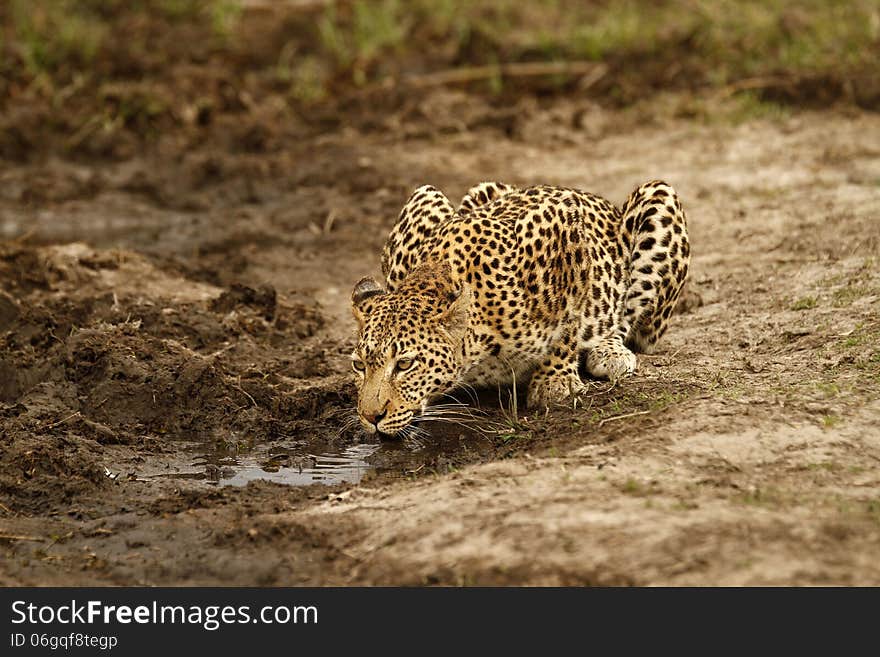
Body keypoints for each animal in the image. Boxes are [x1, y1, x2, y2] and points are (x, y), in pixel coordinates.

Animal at [348, 179, 688, 436]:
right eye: (359, 365)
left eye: (405, 364)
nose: (371, 417)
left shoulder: (563, 229)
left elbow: (568, 321)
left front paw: (554, 382)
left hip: (659, 196)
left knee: (628, 322)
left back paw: (609, 351)